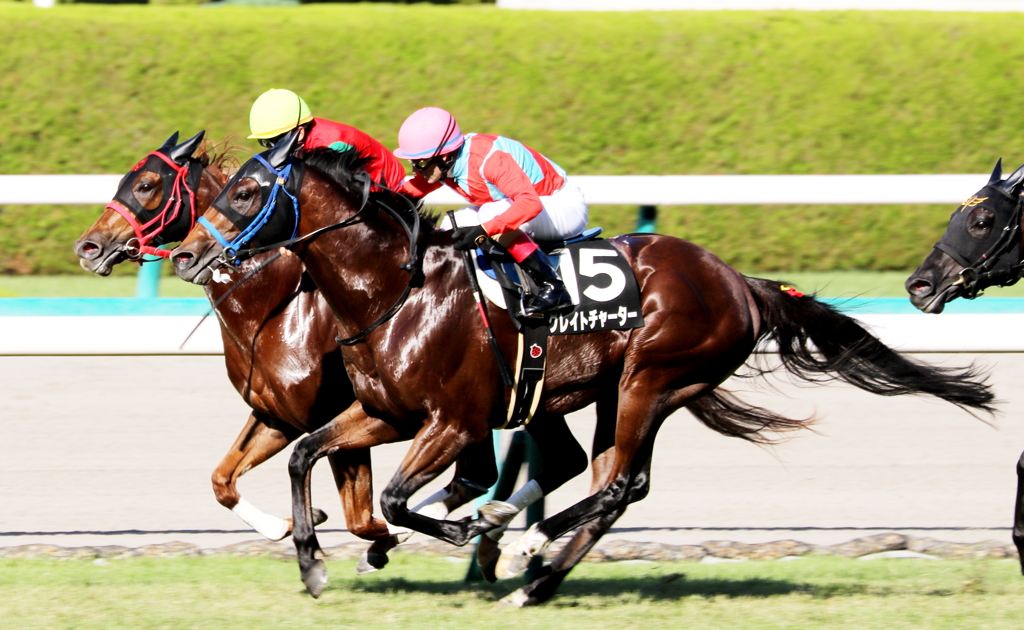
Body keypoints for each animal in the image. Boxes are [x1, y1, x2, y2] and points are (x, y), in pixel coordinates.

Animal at [71, 132, 495, 573]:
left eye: (146, 185)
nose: (87, 246)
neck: (273, 307)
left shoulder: (345, 414)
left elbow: (360, 518)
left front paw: (371, 539)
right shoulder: (277, 416)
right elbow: (222, 481)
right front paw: (291, 524)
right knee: (473, 478)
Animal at [174, 140, 991, 610]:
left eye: (248, 192)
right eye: (226, 186)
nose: (187, 256)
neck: (391, 291)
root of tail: (737, 281)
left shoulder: (454, 422)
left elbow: (403, 501)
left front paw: (465, 529)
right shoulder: (384, 413)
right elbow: (308, 457)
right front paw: (313, 562)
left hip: (649, 380)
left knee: (621, 484)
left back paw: (523, 547)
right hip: (612, 392)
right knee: (612, 484)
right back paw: (537, 576)